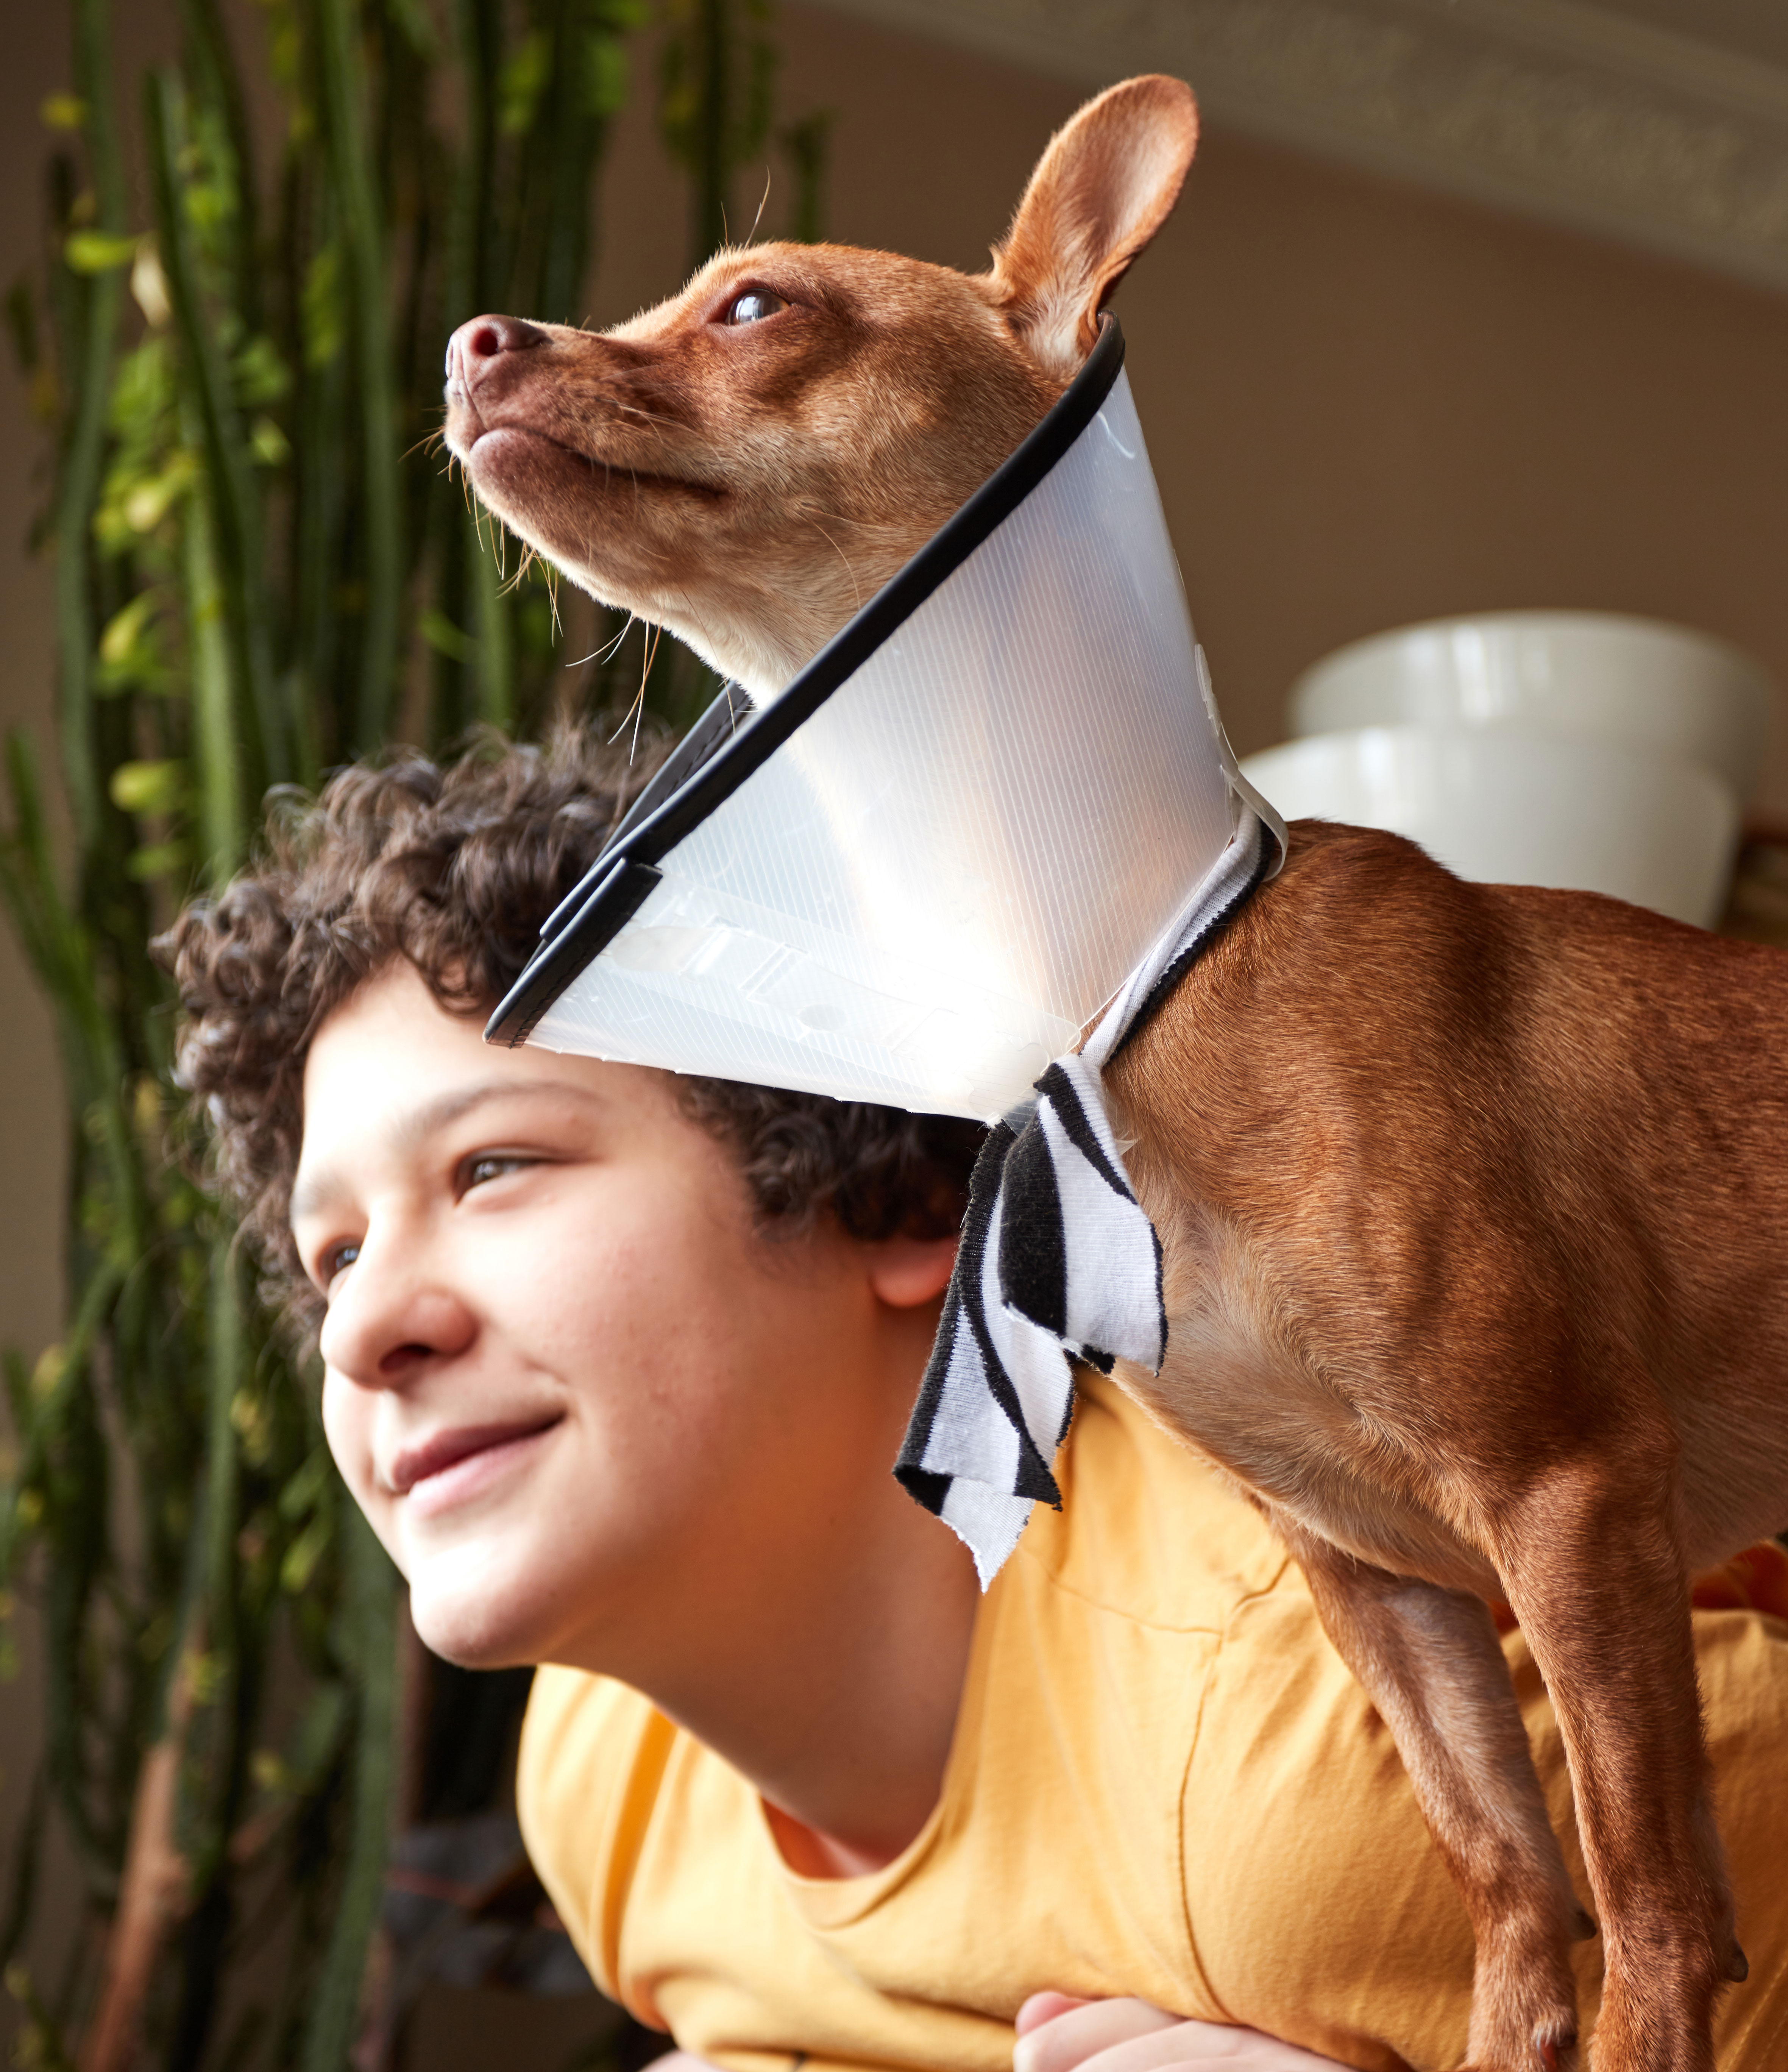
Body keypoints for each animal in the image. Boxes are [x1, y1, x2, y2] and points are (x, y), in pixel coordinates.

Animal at [437, 73, 1788, 2064]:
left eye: (754, 306)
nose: (470, 338)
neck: (1132, 998)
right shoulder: (1389, 1581)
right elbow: (1512, 1893)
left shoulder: (1573, 1499)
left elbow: (1651, 1919)